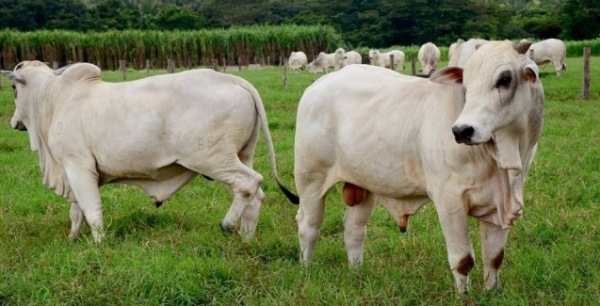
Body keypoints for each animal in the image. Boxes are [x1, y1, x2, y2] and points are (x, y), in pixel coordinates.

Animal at [1, 61, 298, 244]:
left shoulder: (78, 166)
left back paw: (226, 225)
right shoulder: (72, 171)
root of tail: (232, 78)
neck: (53, 99)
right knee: (256, 195)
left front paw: (98, 243)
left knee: (250, 183)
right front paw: (73, 238)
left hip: (213, 160)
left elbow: (91, 208)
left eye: (14, 88)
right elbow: (76, 210)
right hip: (240, 155)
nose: (14, 123)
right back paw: (246, 238)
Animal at [292, 40, 544, 294]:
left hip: (364, 184)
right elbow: (462, 259)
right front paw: (464, 296)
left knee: (354, 229)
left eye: (505, 79)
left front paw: (490, 292)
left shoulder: (497, 207)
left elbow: (494, 257)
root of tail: (318, 84)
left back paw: (357, 273)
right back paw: (306, 270)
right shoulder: (449, 201)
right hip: (311, 180)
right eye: (466, 83)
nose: (462, 130)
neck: (503, 158)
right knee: (308, 226)